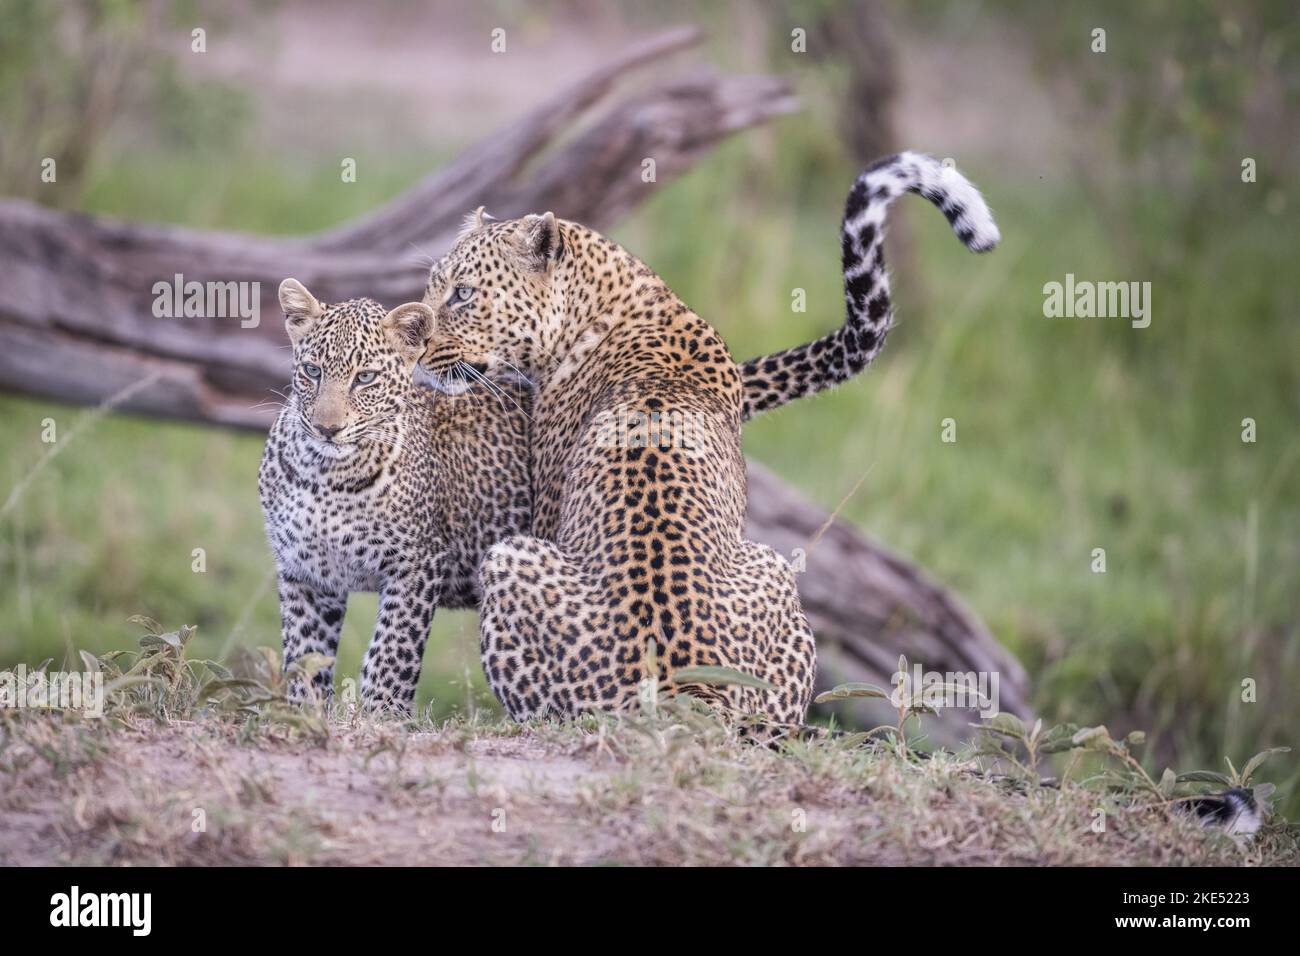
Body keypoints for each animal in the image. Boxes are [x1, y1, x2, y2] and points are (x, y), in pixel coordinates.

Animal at [413, 149, 993, 723]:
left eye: (462, 294)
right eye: (432, 287)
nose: (415, 346)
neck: (613, 298)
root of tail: (685, 690)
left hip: (510, 560)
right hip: (772, 571)